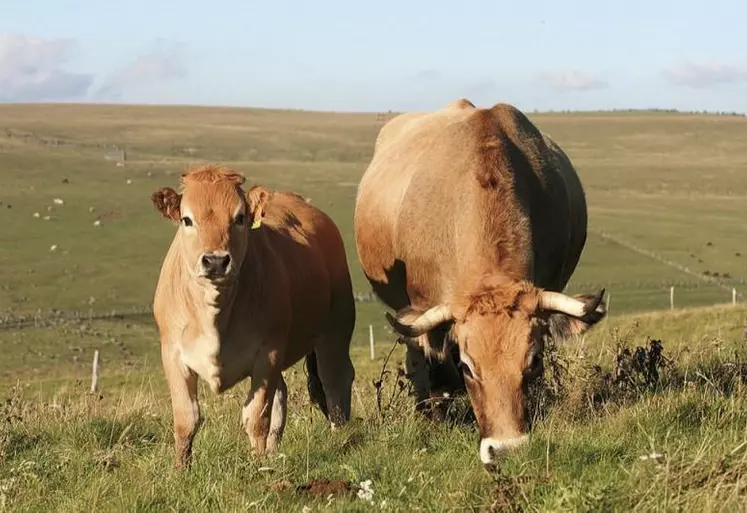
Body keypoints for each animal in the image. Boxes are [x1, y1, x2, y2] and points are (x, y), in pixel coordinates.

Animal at [151, 165, 356, 468]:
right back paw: (273, 449)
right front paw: (180, 469)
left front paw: (259, 465)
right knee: (283, 392)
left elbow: (256, 417)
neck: (215, 314)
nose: (215, 261)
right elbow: (186, 419)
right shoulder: (173, 354)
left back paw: (338, 437)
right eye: (187, 219)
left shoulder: (267, 354)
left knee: (335, 380)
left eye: (239, 218)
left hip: (336, 327)